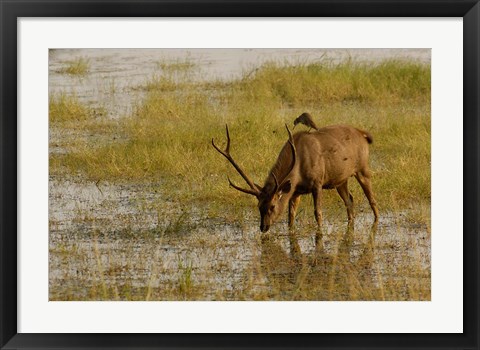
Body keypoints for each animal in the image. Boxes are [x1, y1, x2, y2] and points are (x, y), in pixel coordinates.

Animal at [210, 123, 378, 235]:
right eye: (258, 206)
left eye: (272, 206)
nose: (263, 227)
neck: (299, 169)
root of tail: (362, 134)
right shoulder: (296, 190)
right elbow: (290, 216)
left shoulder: (318, 182)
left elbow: (318, 213)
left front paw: (319, 233)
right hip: (340, 180)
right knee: (349, 200)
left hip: (363, 168)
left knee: (372, 200)